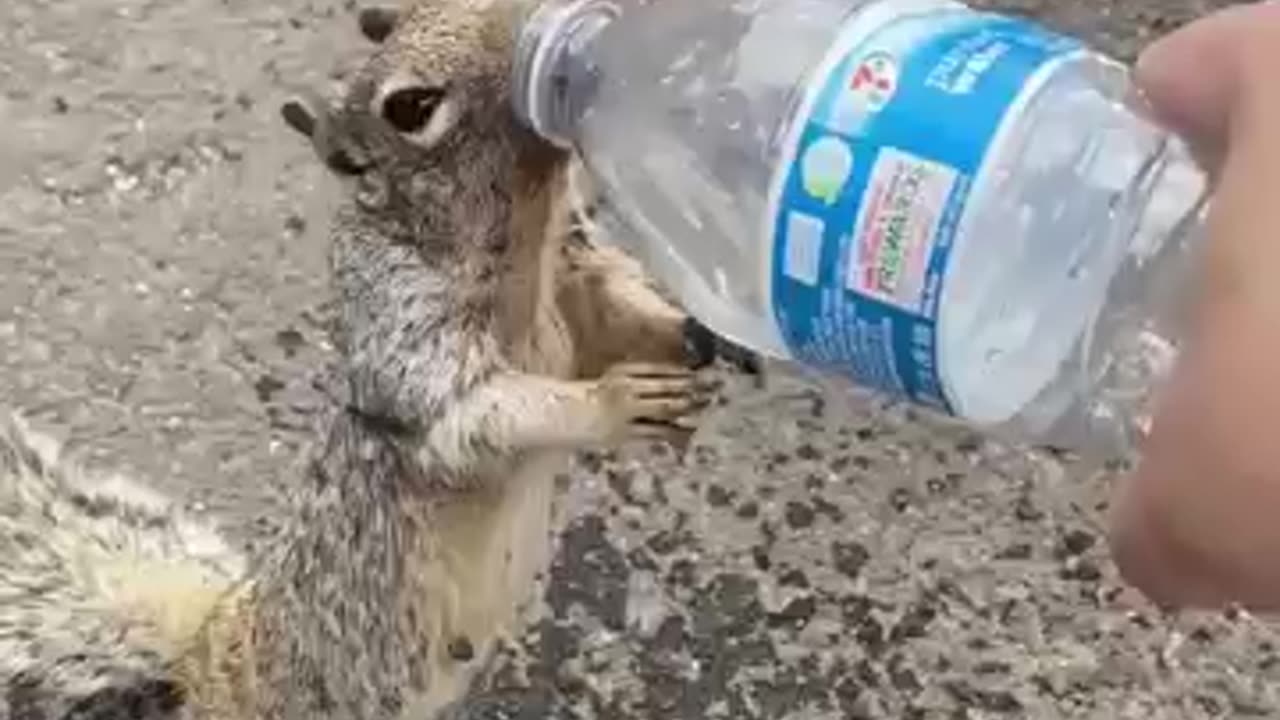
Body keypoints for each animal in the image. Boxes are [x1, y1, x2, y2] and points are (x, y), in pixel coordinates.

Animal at [2, 1, 757, 717]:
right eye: (411, 107)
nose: (536, 28)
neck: (524, 250)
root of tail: (206, 661)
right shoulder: (405, 327)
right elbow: (478, 414)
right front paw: (616, 403)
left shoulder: (574, 276)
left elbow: (615, 312)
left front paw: (703, 331)